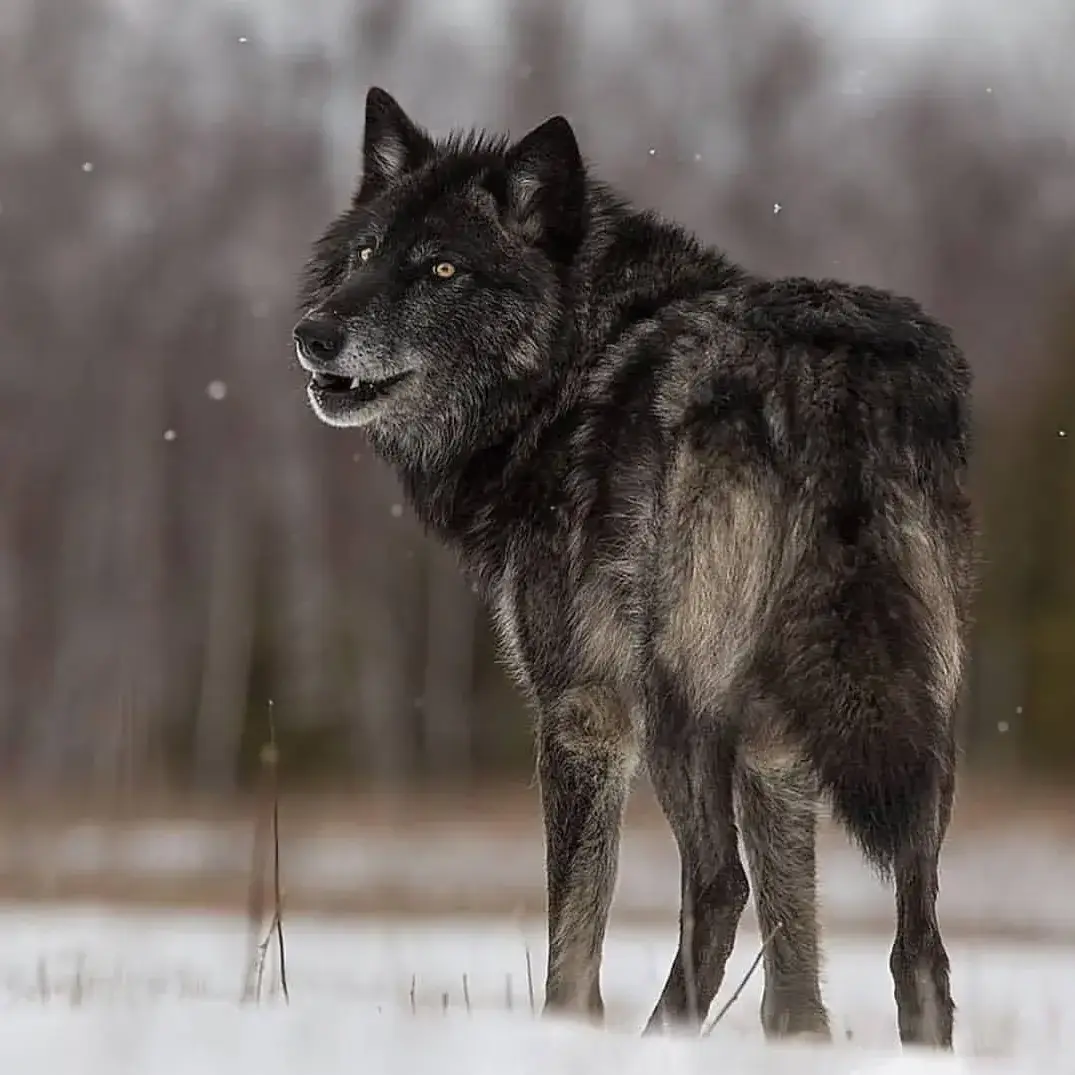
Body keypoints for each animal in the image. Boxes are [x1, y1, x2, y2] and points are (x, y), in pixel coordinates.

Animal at [294, 87, 975, 1048]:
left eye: (441, 271)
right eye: (363, 254)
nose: (313, 333)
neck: (574, 362)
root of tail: (825, 365)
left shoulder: (581, 712)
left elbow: (573, 936)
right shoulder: (774, 746)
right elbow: (795, 960)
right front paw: (799, 1046)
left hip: (675, 702)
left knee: (717, 882)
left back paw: (659, 1035)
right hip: (916, 716)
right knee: (919, 941)